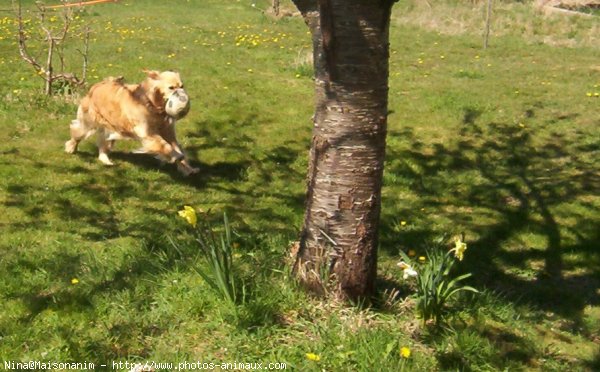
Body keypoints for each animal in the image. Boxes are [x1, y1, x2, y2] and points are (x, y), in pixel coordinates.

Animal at [65, 70, 199, 177]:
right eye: (171, 88)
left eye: (182, 86)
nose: (183, 97)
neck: (151, 104)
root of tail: (98, 85)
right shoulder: (147, 133)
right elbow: (166, 146)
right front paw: (176, 156)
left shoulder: (169, 132)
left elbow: (176, 147)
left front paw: (188, 168)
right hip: (89, 123)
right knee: (76, 132)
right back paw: (71, 148)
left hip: (111, 129)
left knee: (103, 145)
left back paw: (106, 160)